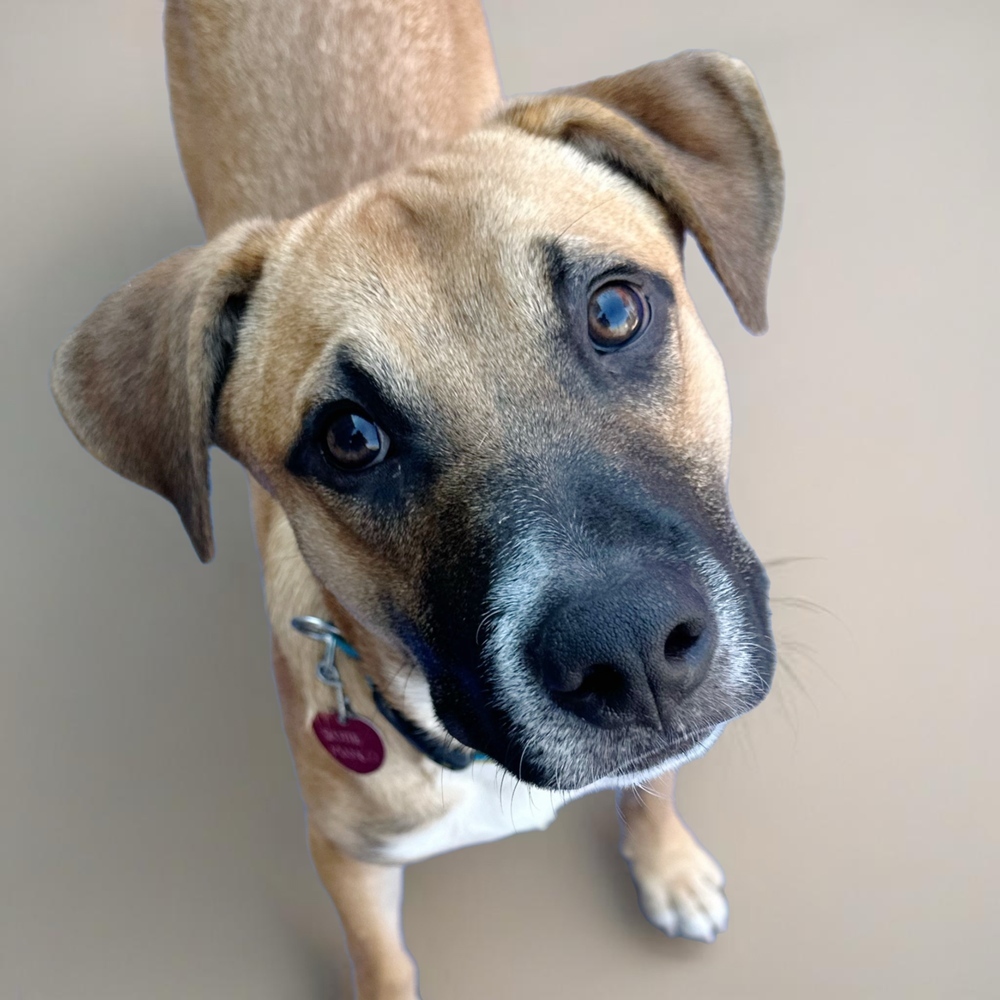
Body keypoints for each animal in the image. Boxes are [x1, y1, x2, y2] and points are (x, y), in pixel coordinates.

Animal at [50, 3, 784, 996]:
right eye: (351, 438)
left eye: (615, 310)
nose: (630, 649)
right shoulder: (346, 858)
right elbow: (381, 958)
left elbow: (656, 781)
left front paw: (668, 865)